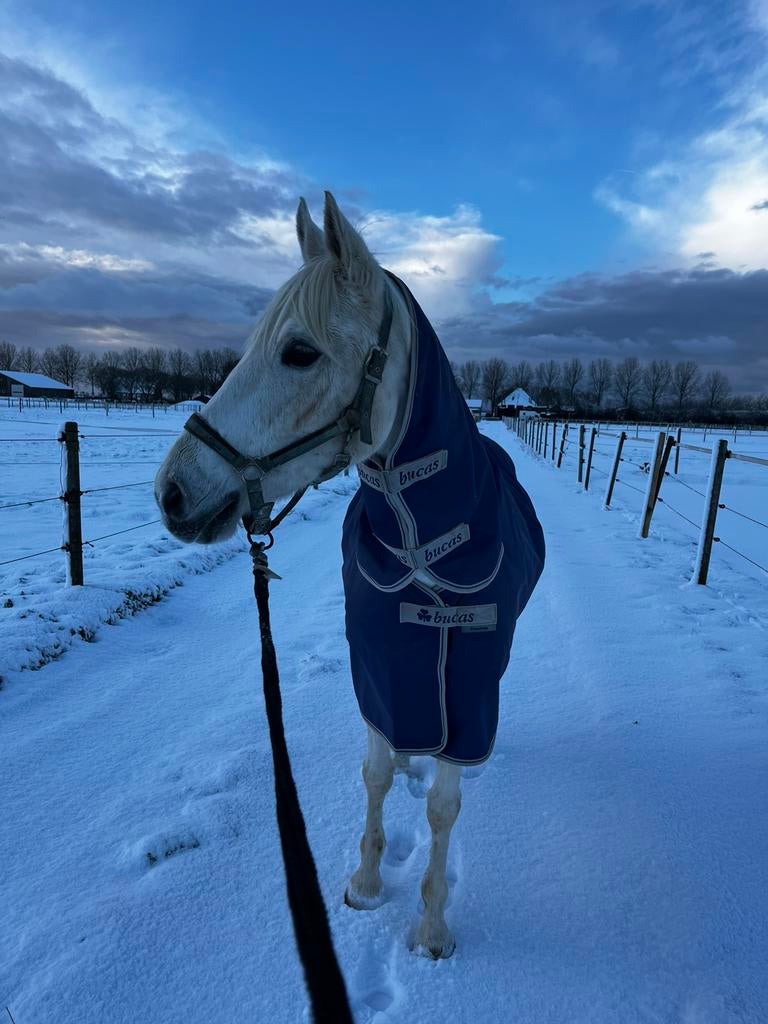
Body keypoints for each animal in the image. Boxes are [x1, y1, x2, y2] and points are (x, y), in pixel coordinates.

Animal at [155, 192, 545, 960]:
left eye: (299, 352)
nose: (172, 492)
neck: (419, 546)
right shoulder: (379, 667)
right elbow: (377, 771)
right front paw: (365, 884)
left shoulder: (467, 682)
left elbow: (444, 804)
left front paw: (431, 928)